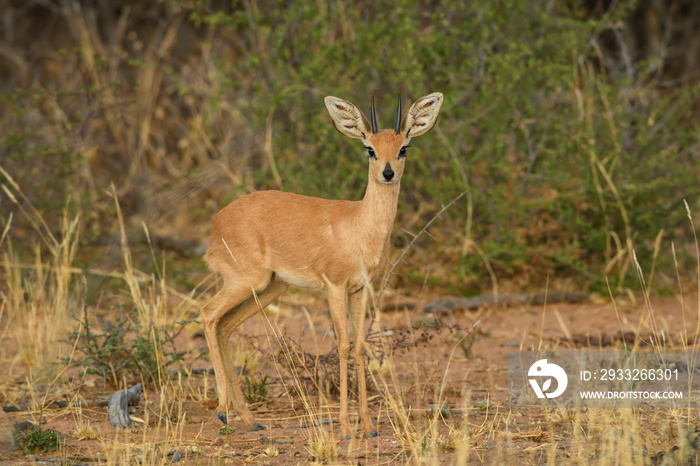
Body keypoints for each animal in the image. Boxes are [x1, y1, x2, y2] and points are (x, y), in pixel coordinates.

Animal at [202, 92, 442, 436]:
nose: (388, 173)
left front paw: (367, 424)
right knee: (208, 315)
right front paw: (345, 426)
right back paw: (221, 410)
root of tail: (217, 222)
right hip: (247, 282)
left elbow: (360, 346)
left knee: (225, 326)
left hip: (269, 288)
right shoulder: (335, 285)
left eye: (403, 147)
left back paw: (249, 420)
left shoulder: (360, 290)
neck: (360, 226)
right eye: (370, 148)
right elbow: (342, 345)